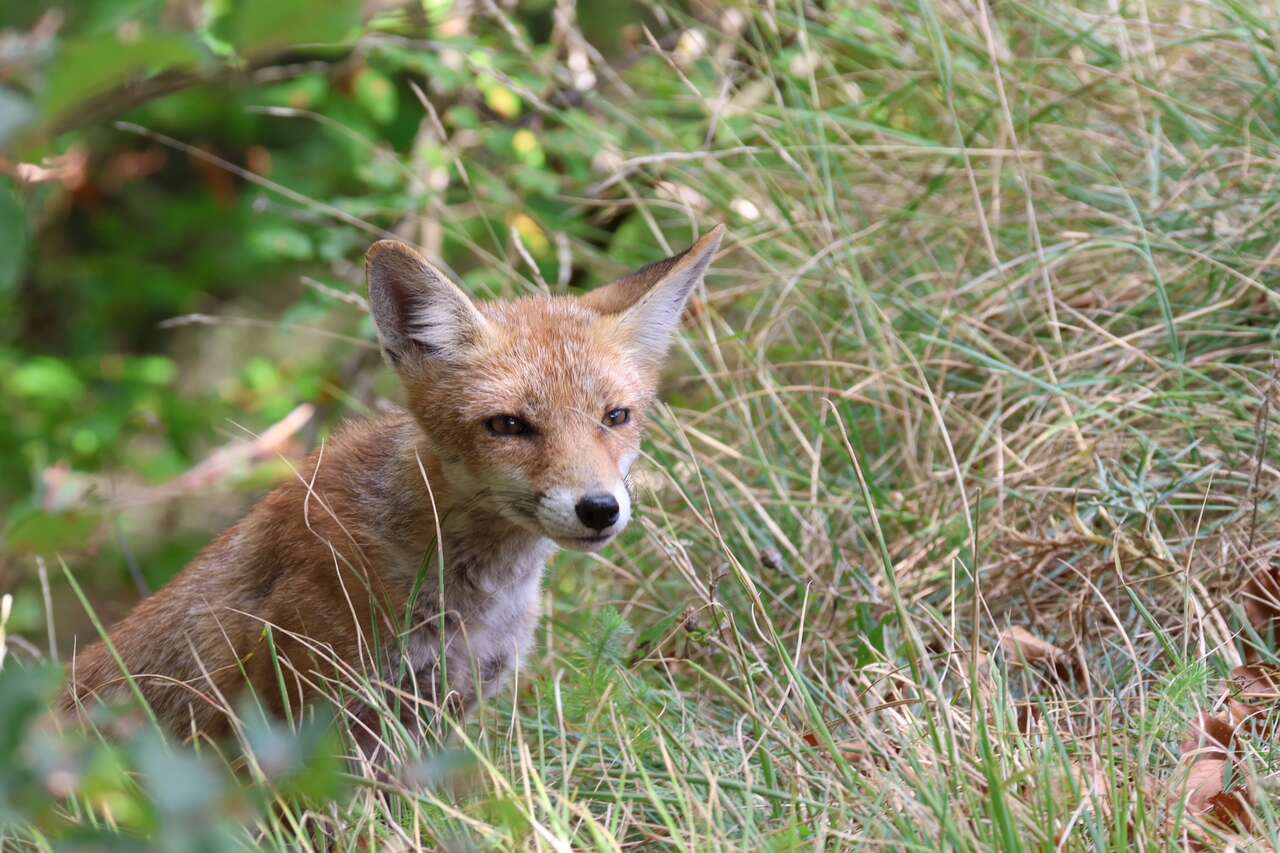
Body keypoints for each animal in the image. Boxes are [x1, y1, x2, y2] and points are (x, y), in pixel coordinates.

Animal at [60, 225, 724, 754]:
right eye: (509, 426)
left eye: (616, 417)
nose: (599, 509)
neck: (470, 597)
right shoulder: (306, 720)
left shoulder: (443, 712)